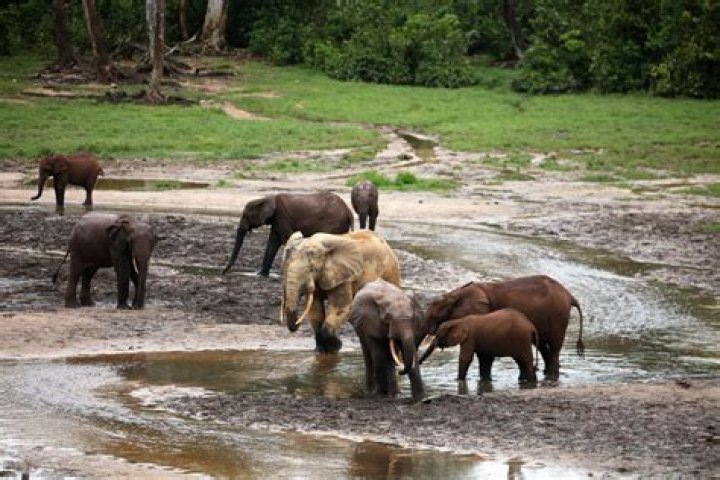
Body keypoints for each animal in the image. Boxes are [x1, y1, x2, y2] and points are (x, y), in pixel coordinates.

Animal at [223, 192, 354, 276]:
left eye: (246, 216)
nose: (224, 272)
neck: (266, 198)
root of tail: (348, 210)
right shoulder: (276, 220)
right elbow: (273, 243)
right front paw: (261, 274)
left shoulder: (282, 217)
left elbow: (286, 239)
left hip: (334, 223)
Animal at [421, 275, 584, 378]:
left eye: (435, 316)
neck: (456, 293)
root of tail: (570, 296)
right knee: (543, 346)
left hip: (558, 317)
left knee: (554, 346)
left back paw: (550, 376)